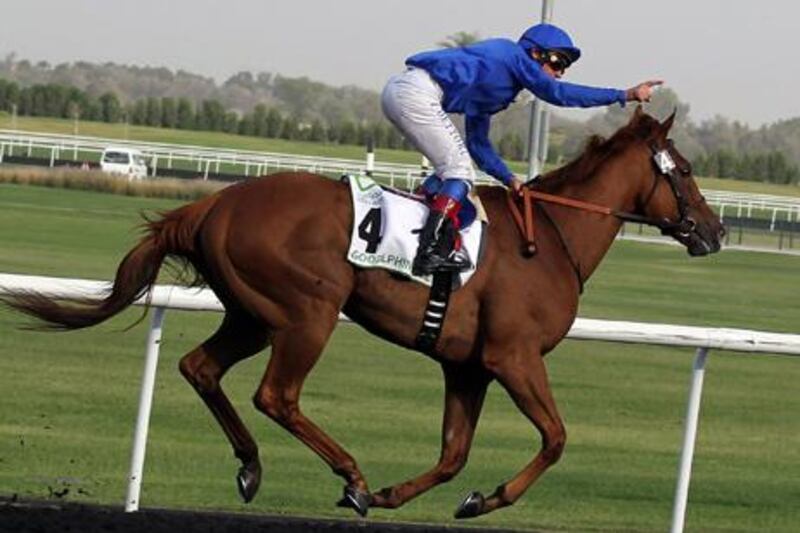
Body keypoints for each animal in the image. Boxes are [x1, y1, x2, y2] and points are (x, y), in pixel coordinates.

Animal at [3, 106, 720, 516]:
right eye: (684, 170)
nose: (714, 232)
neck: (550, 238)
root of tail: (213, 203)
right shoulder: (511, 356)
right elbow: (556, 437)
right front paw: (485, 499)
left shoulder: (467, 366)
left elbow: (454, 453)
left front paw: (400, 494)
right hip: (308, 311)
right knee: (276, 394)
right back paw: (347, 472)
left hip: (252, 314)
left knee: (200, 367)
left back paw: (254, 466)